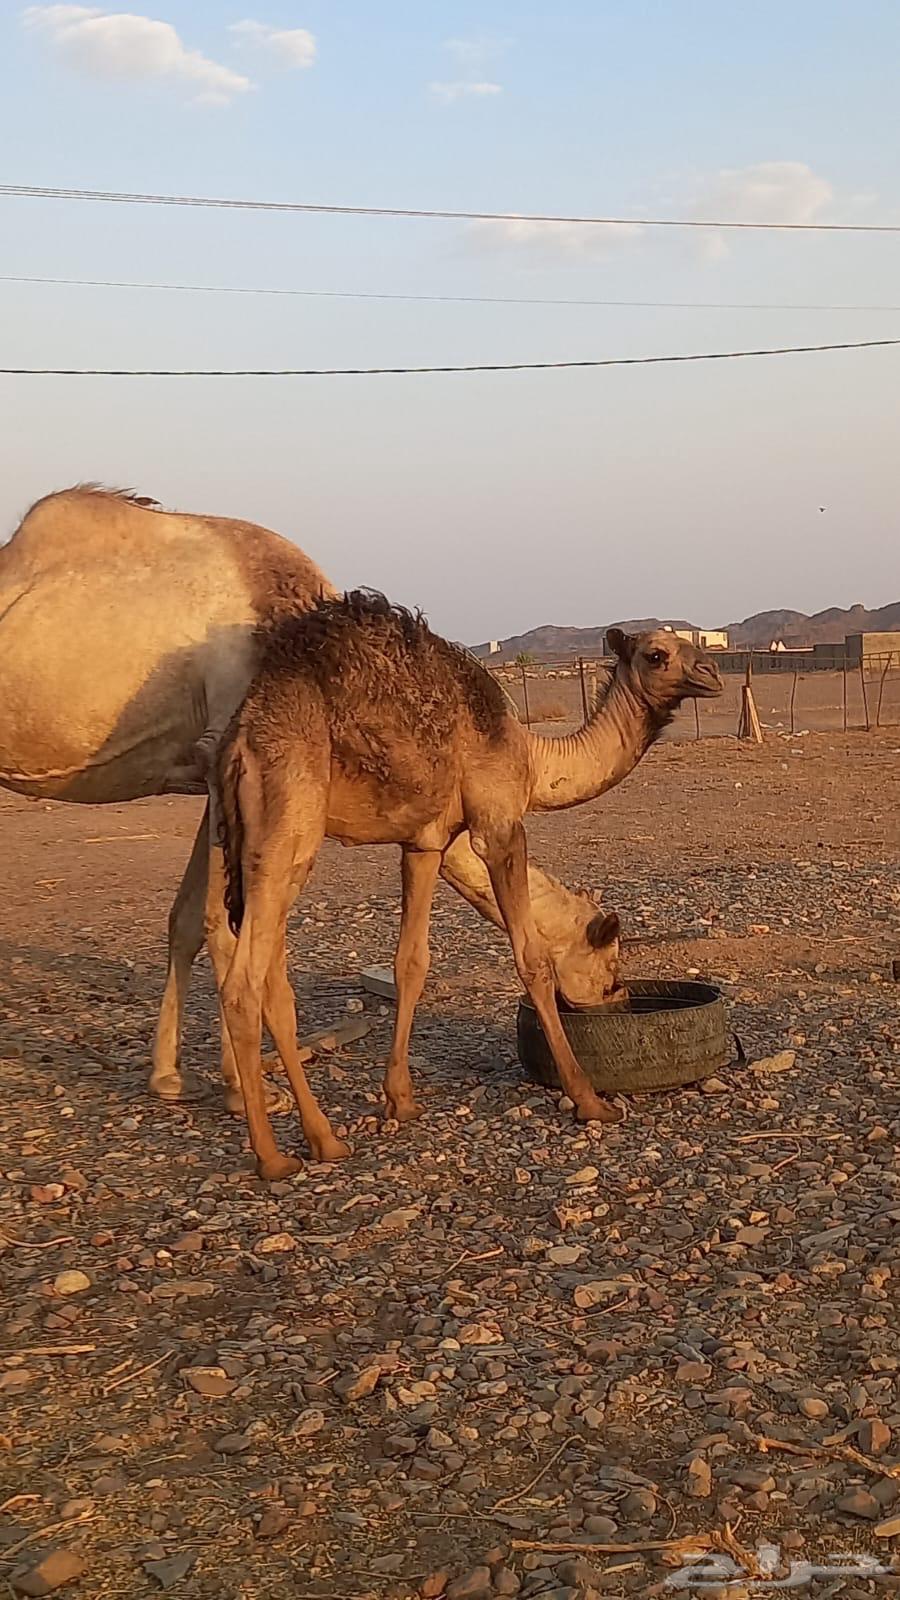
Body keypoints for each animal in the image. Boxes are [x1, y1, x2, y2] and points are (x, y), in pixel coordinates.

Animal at [0, 485, 699, 1110]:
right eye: (609, 957)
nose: (621, 1000)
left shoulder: (212, 780)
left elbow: (186, 921)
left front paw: (170, 1078)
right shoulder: (227, 757)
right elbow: (220, 927)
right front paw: (240, 1089)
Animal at [215, 590, 723, 1179]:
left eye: (692, 645)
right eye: (657, 655)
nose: (712, 673)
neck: (531, 757)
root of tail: (240, 741)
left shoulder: (425, 843)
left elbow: (411, 963)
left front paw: (401, 1100)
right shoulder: (498, 824)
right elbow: (532, 959)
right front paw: (590, 1101)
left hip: (249, 847)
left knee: (271, 980)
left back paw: (324, 1139)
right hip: (287, 829)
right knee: (243, 982)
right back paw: (272, 1157)